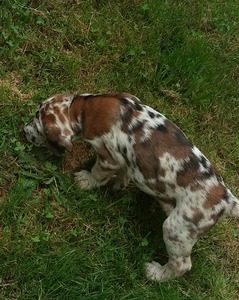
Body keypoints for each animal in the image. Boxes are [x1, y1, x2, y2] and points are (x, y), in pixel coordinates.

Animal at [24, 92, 239, 282]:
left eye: (37, 120)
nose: (24, 131)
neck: (84, 107)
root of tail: (226, 200)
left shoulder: (107, 157)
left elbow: (97, 172)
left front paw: (86, 181)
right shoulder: (123, 159)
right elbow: (124, 172)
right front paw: (119, 183)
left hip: (176, 228)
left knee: (181, 265)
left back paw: (155, 274)